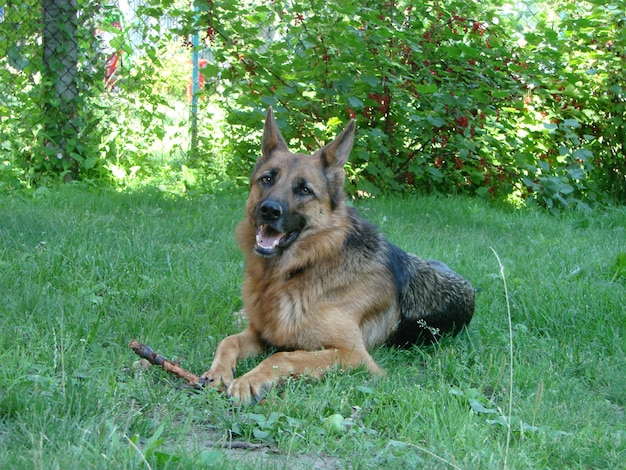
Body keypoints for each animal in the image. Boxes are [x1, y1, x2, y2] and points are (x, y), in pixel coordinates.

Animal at [200, 108, 472, 402]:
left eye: (304, 190)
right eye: (267, 179)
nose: (269, 210)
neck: (297, 270)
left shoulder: (352, 355)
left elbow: (284, 357)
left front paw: (250, 380)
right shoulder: (260, 333)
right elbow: (228, 341)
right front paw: (219, 372)